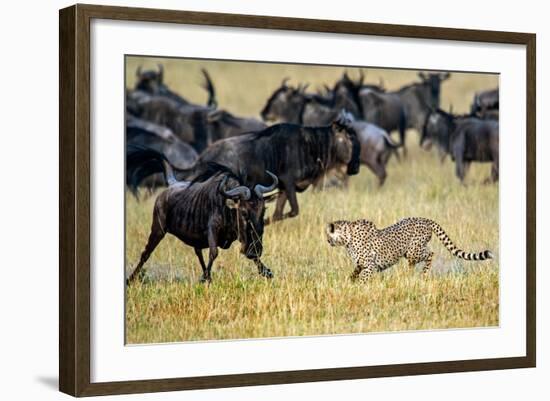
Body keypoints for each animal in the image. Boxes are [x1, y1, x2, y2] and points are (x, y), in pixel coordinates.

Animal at [127, 148, 278, 284]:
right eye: (244, 212)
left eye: (263, 210)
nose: (256, 250)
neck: (227, 206)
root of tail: (172, 184)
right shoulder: (212, 229)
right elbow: (214, 252)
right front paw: (205, 278)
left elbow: (252, 258)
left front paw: (266, 272)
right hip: (158, 230)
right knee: (145, 253)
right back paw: (131, 279)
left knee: (198, 252)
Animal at [328, 216, 496, 282]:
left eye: (327, 234)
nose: (327, 241)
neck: (348, 237)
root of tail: (425, 219)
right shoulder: (361, 264)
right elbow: (355, 273)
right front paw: (349, 282)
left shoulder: (370, 265)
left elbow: (363, 277)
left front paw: (359, 287)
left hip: (413, 251)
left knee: (430, 254)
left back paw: (420, 274)